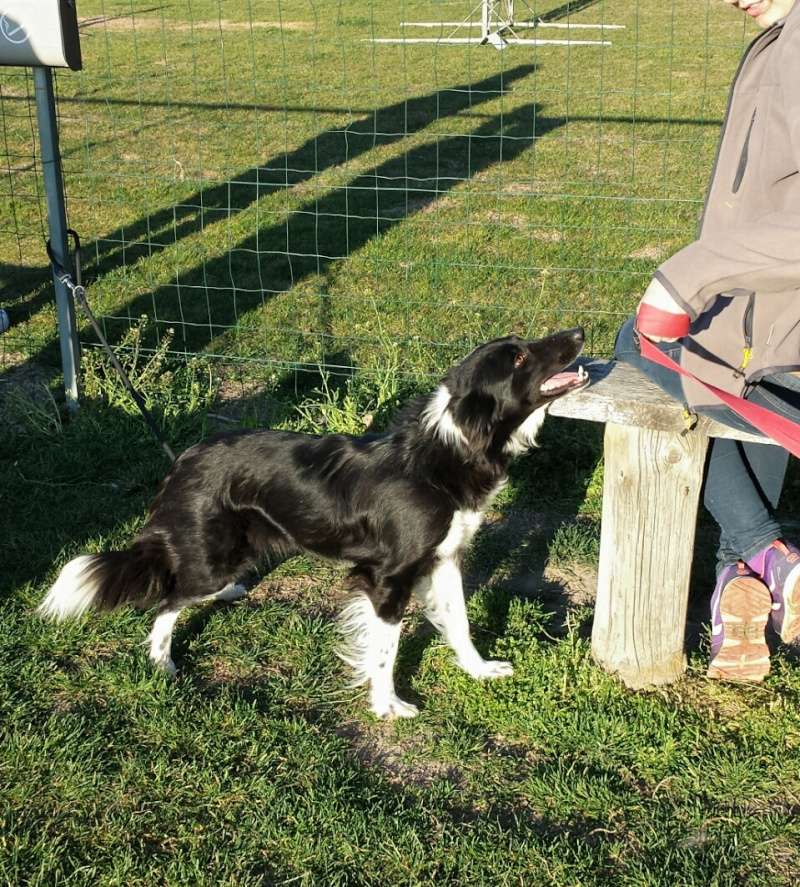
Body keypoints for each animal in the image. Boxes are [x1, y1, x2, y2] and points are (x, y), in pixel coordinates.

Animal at [39, 330, 588, 720]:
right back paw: (162, 661)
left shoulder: (445, 559)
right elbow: (386, 650)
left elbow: (459, 621)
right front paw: (387, 707)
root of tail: (184, 460)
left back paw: (227, 595)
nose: (580, 331)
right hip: (212, 554)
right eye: (518, 359)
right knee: (167, 600)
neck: (446, 452)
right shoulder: (386, 578)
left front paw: (478, 669)